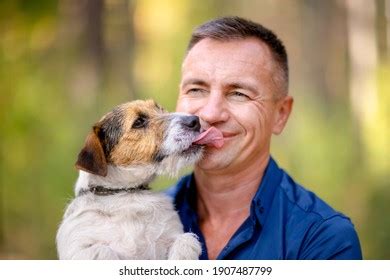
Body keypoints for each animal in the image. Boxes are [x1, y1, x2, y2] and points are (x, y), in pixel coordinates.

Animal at [56, 99, 224, 260]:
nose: (195, 120)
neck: (128, 193)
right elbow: (102, 250)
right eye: (138, 122)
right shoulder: (78, 246)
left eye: (160, 109)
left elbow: (186, 240)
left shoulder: (172, 233)